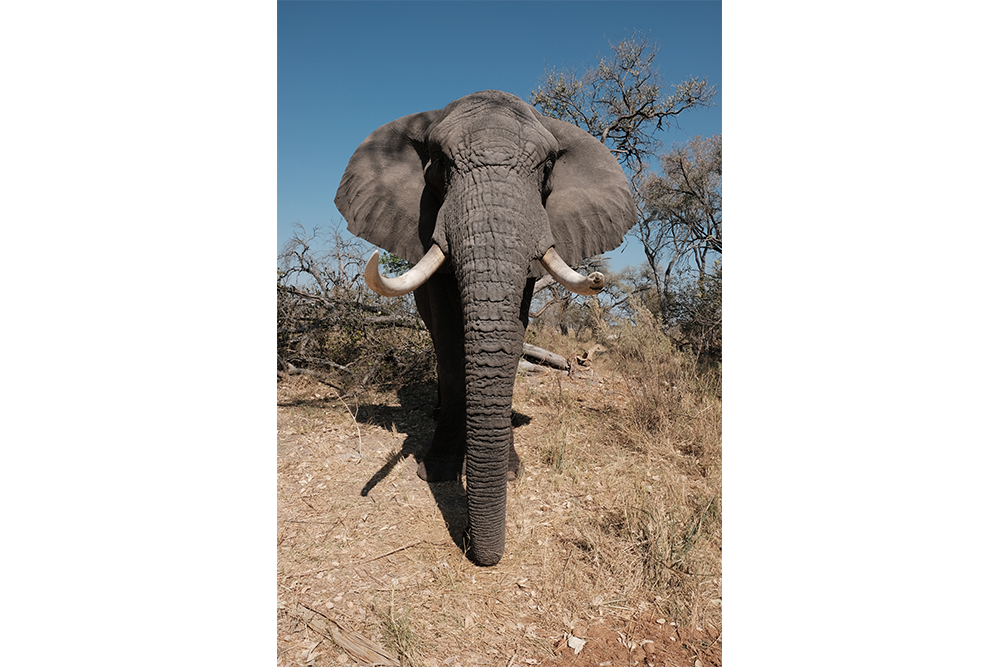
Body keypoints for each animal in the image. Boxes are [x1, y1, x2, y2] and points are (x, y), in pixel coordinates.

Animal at [335, 90, 636, 566]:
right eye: (439, 163)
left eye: (546, 168)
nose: (473, 547)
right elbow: (448, 334)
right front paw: (437, 471)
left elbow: (515, 331)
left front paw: (510, 471)